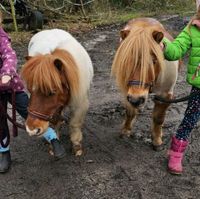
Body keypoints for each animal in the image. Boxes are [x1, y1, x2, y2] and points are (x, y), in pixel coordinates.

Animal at [111, 17, 179, 150]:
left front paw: (157, 140)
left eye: (153, 61)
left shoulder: (165, 95)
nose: (136, 99)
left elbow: (158, 118)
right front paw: (126, 130)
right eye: (126, 60)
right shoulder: (128, 92)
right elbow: (130, 112)